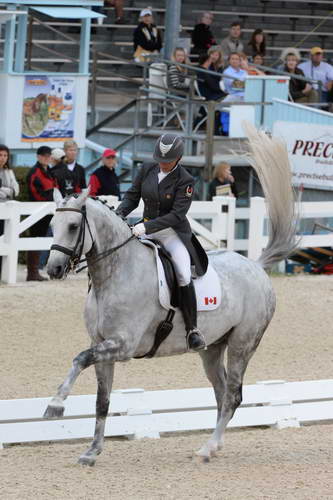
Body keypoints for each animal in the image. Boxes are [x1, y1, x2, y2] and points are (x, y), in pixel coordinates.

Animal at [44, 125, 296, 464]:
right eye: (51, 223)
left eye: (73, 226)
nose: (54, 269)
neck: (113, 275)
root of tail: (255, 266)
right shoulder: (102, 344)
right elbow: (102, 400)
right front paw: (92, 451)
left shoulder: (122, 345)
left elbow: (79, 358)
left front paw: (55, 405)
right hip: (212, 348)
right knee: (221, 394)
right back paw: (210, 446)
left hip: (243, 344)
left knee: (233, 394)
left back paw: (208, 448)